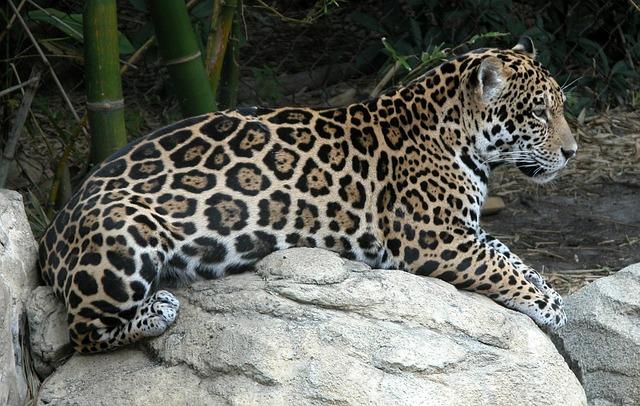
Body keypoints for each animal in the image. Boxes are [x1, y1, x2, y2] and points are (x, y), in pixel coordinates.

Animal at [38, 37, 577, 353]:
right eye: (538, 113)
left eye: (561, 107)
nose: (572, 152)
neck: (458, 132)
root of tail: (49, 235)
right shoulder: (434, 238)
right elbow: (499, 265)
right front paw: (551, 308)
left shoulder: (465, 229)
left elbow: (508, 253)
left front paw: (550, 291)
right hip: (127, 228)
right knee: (83, 331)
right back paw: (159, 309)